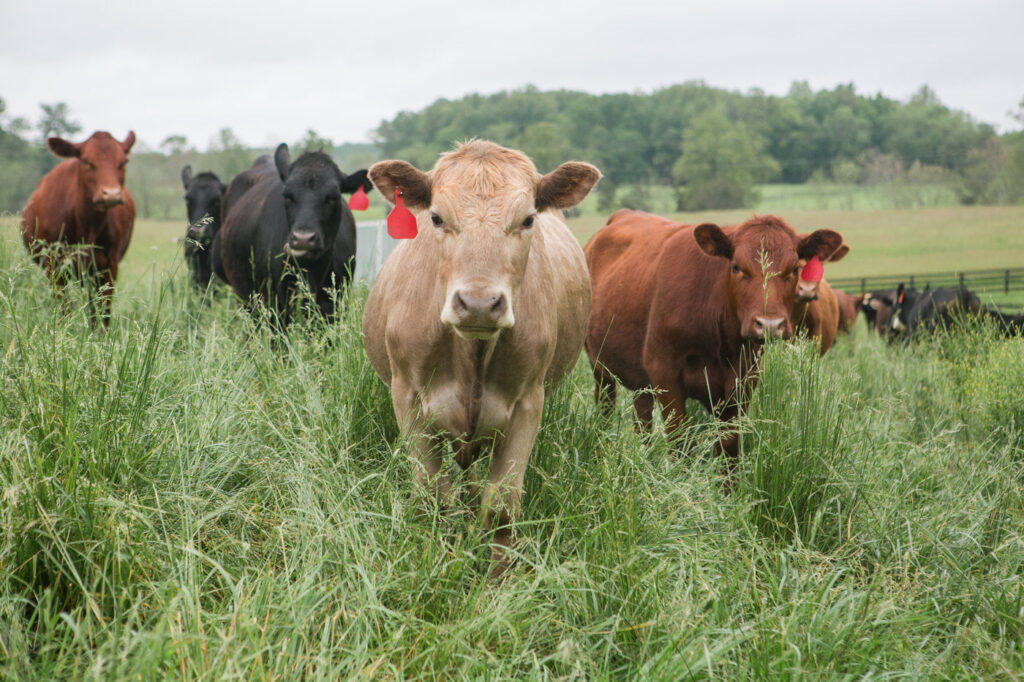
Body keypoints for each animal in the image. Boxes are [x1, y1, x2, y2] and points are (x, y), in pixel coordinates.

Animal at [20, 131, 136, 324]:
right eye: (86, 161)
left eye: (123, 162)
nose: (111, 194)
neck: (87, 226)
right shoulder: (54, 264)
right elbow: (64, 310)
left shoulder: (109, 266)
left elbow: (102, 313)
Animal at [218, 144, 370, 324]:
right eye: (287, 196)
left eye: (333, 196)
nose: (303, 239)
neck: (313, 272)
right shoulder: (274, 306)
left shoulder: (335, 304)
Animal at [363, 140, 600, 579]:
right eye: (436, 217)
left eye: (527, 219)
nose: (477, 304)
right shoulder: (408, 399)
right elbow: (433, 498)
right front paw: (438, 566)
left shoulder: (528, 403)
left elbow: (502, 506)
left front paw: (497, 580)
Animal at [584, 210, 842, 461]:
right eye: (736, 267)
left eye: (795, 269)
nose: (769, 325)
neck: (720, 342)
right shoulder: (664, 372)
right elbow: (681, 444)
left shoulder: (743, 381)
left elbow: (729, 448)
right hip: (600, 368)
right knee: (605, 409)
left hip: (640, 381)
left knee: (642, 420)